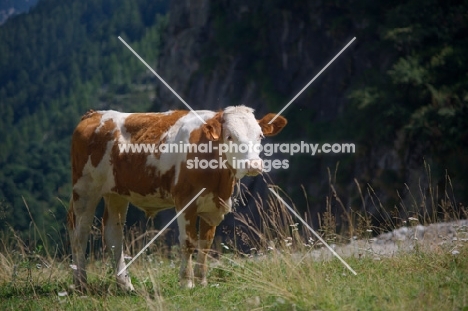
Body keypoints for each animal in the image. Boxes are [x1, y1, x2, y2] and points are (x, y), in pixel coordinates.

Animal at [66, 106, 286, 292]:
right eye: (230, 136)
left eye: (260, 135)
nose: (254, 164)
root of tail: (95, 114)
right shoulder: (185, 200)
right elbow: (188, 242)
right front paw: (187, 283)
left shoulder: (212, 205)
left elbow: (205, 243)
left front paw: (202, 281)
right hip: (84, 189)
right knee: (79, 233)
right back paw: (81, 283)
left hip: (116, 193)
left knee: (113, 235)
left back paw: (125, 285)